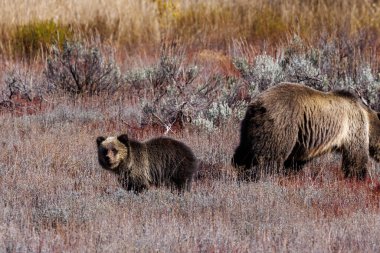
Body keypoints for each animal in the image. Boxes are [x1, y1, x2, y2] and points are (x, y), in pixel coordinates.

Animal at [232, 82, 380, 180]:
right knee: (270, 156)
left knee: (244, 150)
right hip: (282, 124)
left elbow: (296, 159)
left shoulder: (304, 138)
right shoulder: (353, 126)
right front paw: (357, 177)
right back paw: (265, 175)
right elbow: (356, 156)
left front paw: (291, 173)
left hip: (252, 127)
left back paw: (237, 169)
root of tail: (257, 105)